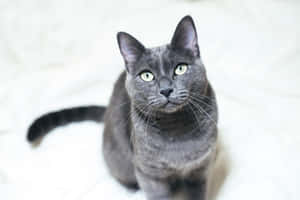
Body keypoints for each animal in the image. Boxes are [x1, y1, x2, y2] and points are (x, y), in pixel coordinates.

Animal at [27, 15, 218, 200]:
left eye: (180, 68)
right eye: (147, 75)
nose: (166, 90)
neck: (176, 128)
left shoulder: (200, 168)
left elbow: (197, 192)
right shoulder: (149, 174)